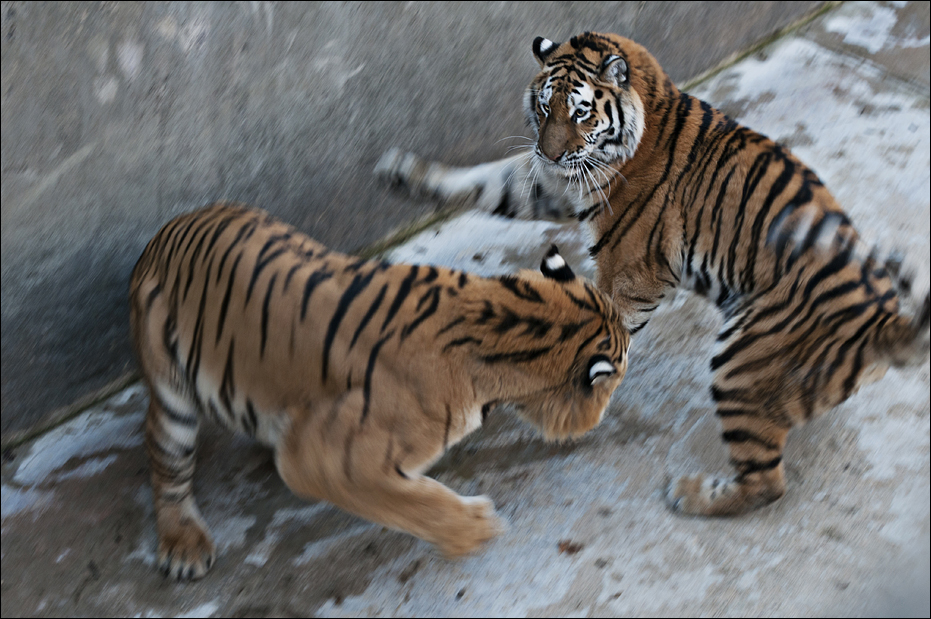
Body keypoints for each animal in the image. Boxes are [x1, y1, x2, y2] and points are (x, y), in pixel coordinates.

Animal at [129, 201, 629, 580]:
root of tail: (164, 231)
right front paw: (474, 528)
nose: (598, 420)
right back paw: (184, 547)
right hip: (171, 393)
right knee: (165, 462)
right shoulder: (327, 458)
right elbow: (412, 502)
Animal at [377, 31, 930, 517]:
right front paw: (402, 171)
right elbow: (486, 180)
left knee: (767, 483)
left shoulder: (632, 269)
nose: (549, 153)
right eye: (545, 107)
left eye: (580, 111)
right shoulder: (555, 182)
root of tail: (886, 325)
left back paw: (691, 495)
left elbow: (600, 328)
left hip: (741, 362)